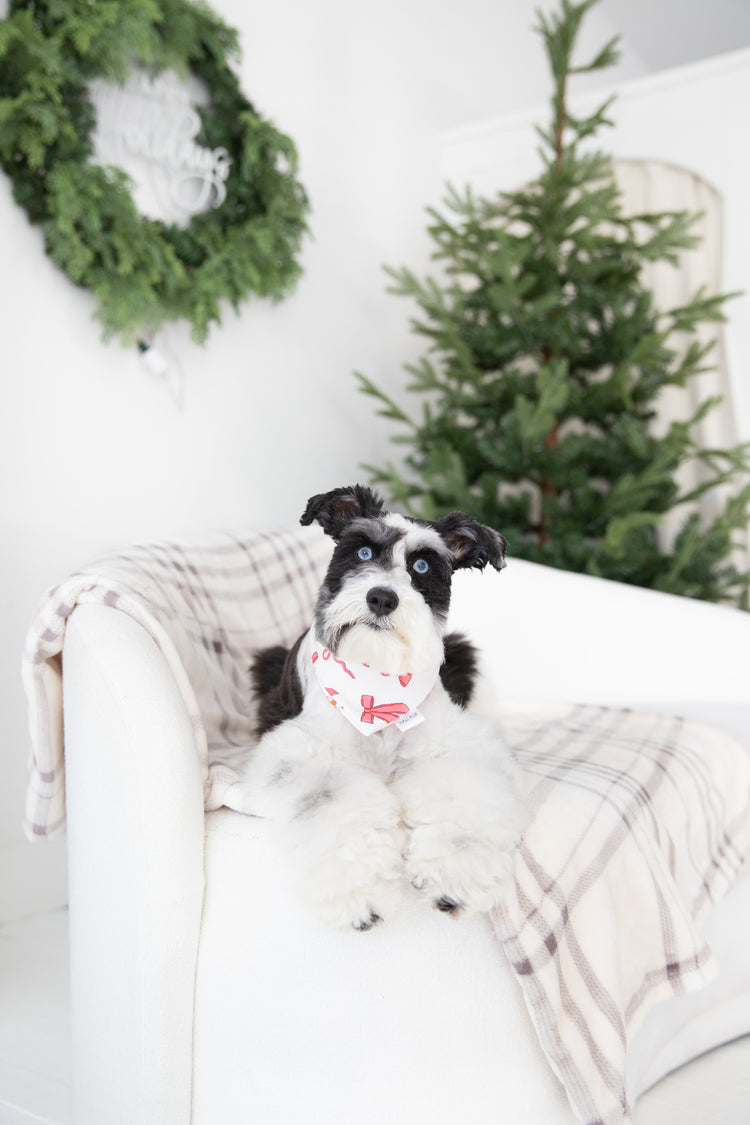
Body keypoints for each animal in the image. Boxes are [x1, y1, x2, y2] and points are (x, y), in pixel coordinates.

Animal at [244, 483, 526, 931]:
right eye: (361, 552)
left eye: (423, 565)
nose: (381, 597)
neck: (378, 684)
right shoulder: (303, 755)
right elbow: (334, 801)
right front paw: (361, 891)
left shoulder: (454, 748)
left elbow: (462, 799)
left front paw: (454, 877)